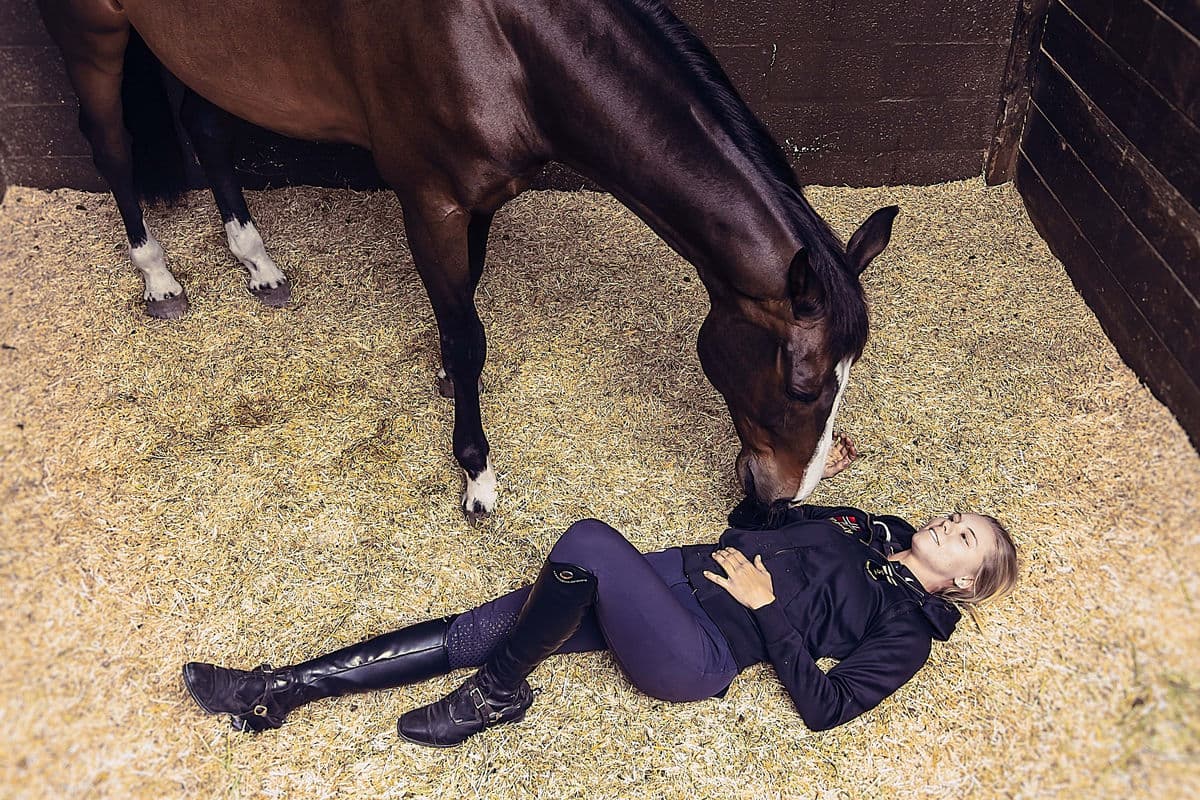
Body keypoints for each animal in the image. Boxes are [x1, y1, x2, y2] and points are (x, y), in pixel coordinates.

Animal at [37, 0, 899, 518]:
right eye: (802, 384)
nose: (782, 500)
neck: (499, 40)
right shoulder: (432, 201)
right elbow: (466, 330)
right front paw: (475, 472)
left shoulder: (480, 201)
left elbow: (466, 310)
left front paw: (451, 383)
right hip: (93, 30)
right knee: (111, 145)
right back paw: (158, 276)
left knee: (206, 127)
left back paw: (257, 263)